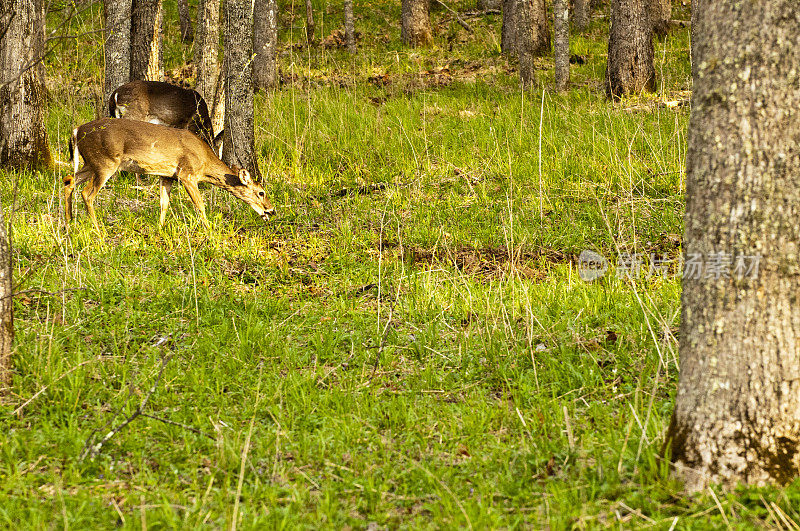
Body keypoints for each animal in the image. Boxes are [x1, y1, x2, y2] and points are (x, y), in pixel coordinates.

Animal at [63, 117, 276, 230]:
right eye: (261, 192)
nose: (271, 210)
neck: (205, 162)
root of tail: (76, 130)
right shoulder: (187, 174)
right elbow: (200, 205)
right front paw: (209, 230)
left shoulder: (167, 176)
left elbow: (164, 203)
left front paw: (160, 228)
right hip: (105, 162)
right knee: (87, 193)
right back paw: (99, 231)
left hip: (90, 163)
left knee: (69, 180)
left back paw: (69, 222)